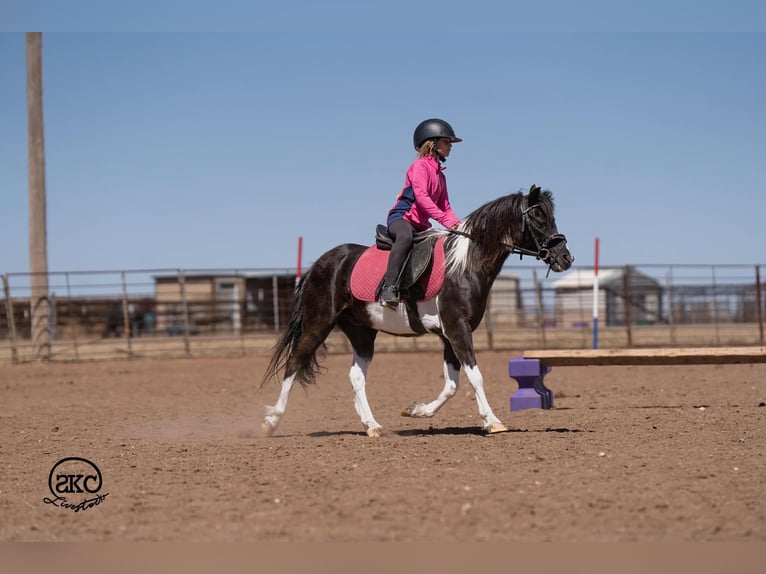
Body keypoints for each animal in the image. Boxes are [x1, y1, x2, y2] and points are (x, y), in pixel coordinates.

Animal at [260, 184, 574, 437]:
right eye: (538, 216)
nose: (565, 258)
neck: (465, 265)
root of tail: (319, 264)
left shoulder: (450, 334)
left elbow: (452, 385)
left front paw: (415, 410)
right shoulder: (457, 329)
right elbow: (475, 376)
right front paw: (493, 421)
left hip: (362, 331)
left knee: (356, 376)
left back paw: (372, 426)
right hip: (319, 323)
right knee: (294, 363)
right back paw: (271, 421)